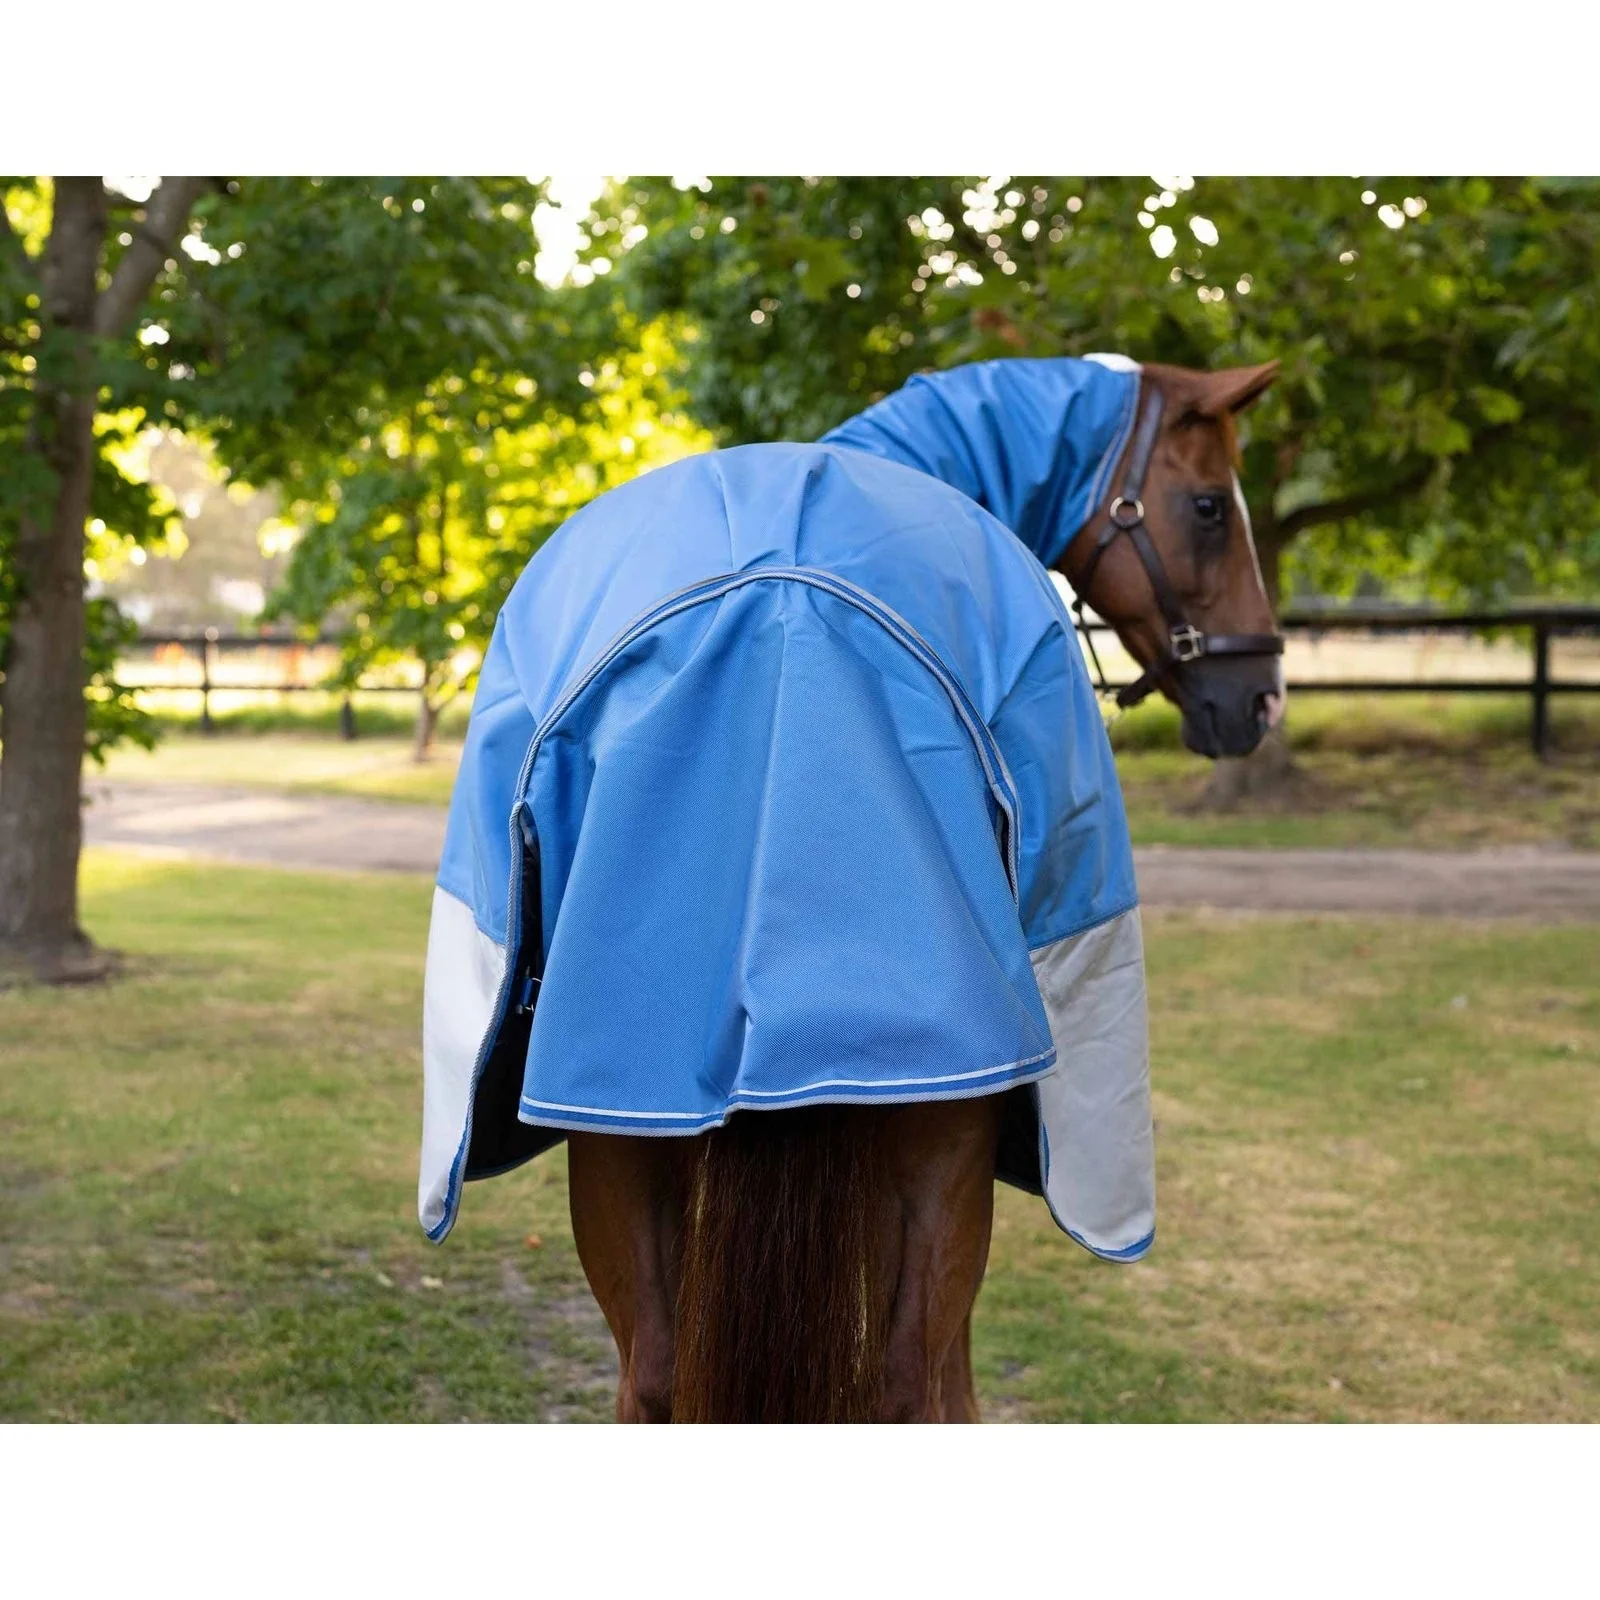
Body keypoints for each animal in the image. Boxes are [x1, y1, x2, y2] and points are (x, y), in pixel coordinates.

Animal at [417, 353, 1282, 1422]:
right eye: (1208, 506)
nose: (1259, 698)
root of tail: (779, 612)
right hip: (940, 1129)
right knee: (909, 1386)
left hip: (614, 1119)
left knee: (652, 1376)